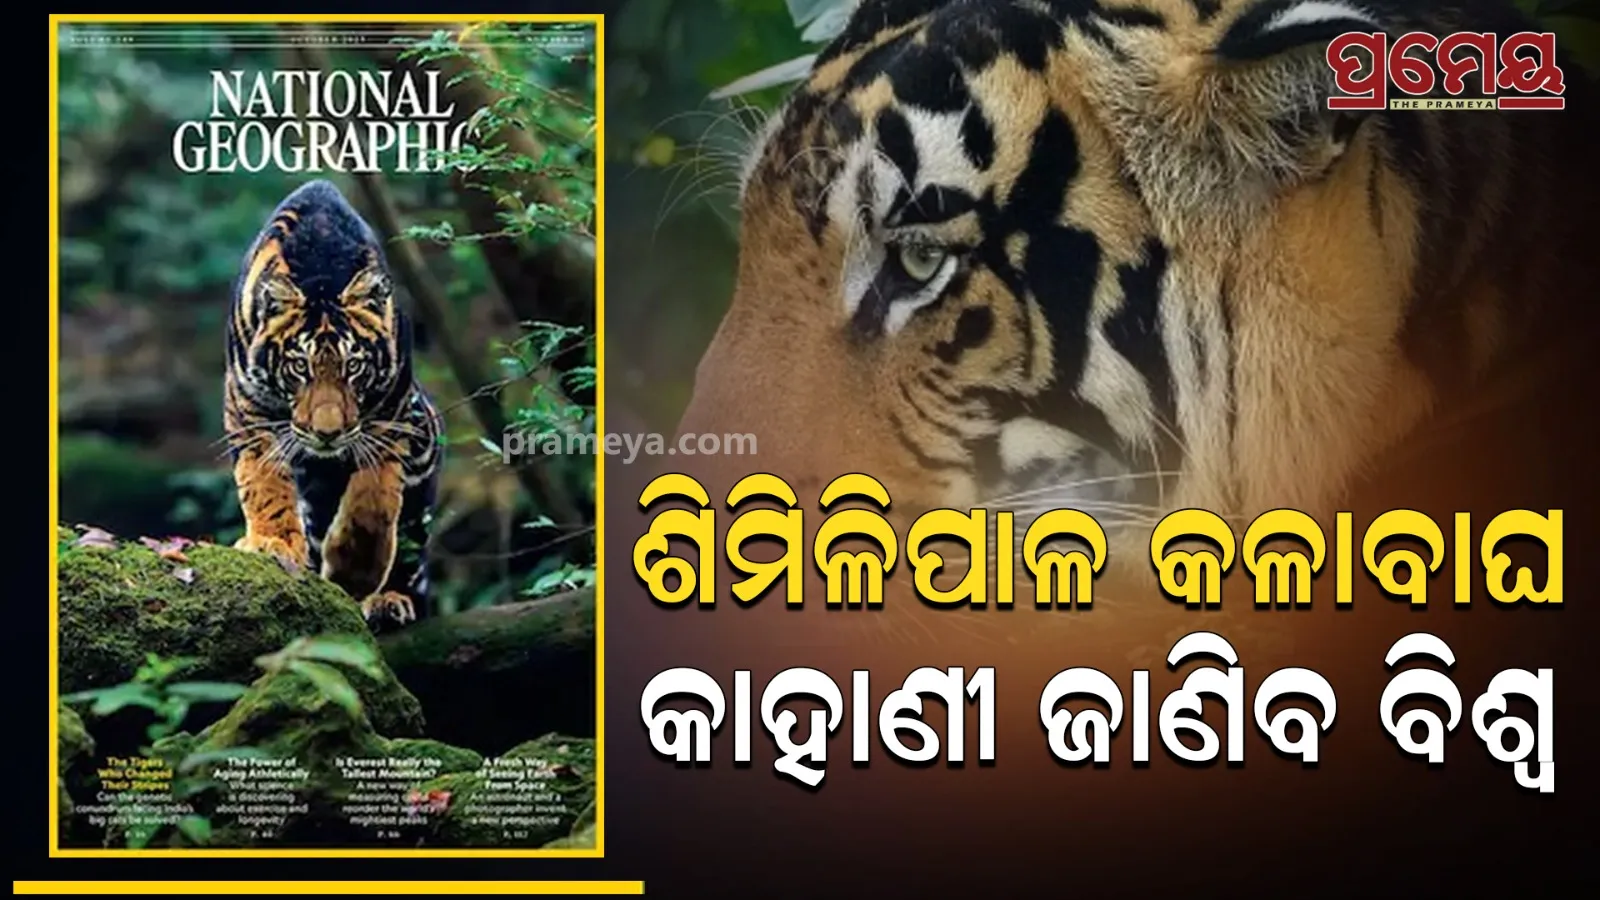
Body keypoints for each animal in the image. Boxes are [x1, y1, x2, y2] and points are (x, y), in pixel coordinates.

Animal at [224, 179, 443, 627]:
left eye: (353, 366)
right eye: (299, 366)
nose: (327, 433)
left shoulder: (391, 417)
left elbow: (373, 501)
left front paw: (355, 573)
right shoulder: (248, 408)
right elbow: (264, 482)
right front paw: (271, 543)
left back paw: (388, 600)